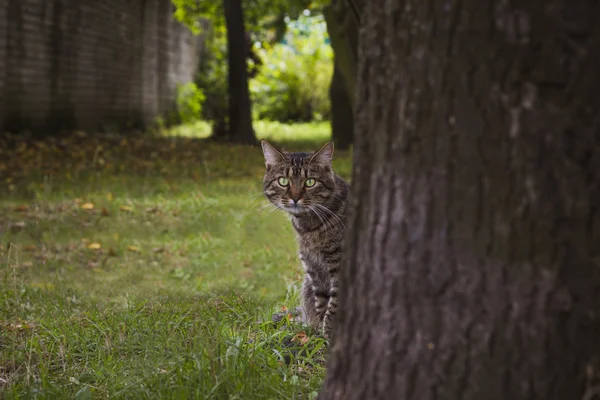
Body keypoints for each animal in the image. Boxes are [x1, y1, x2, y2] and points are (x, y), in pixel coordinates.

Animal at [260, 141, 350, 338]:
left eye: (310, 182)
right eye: (283, 181)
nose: (295, 198)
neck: (308, 227)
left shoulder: (338, 264)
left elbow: (334, 305)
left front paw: (328, 337)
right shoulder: (313, 267)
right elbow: (322, 304)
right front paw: (320, 334)